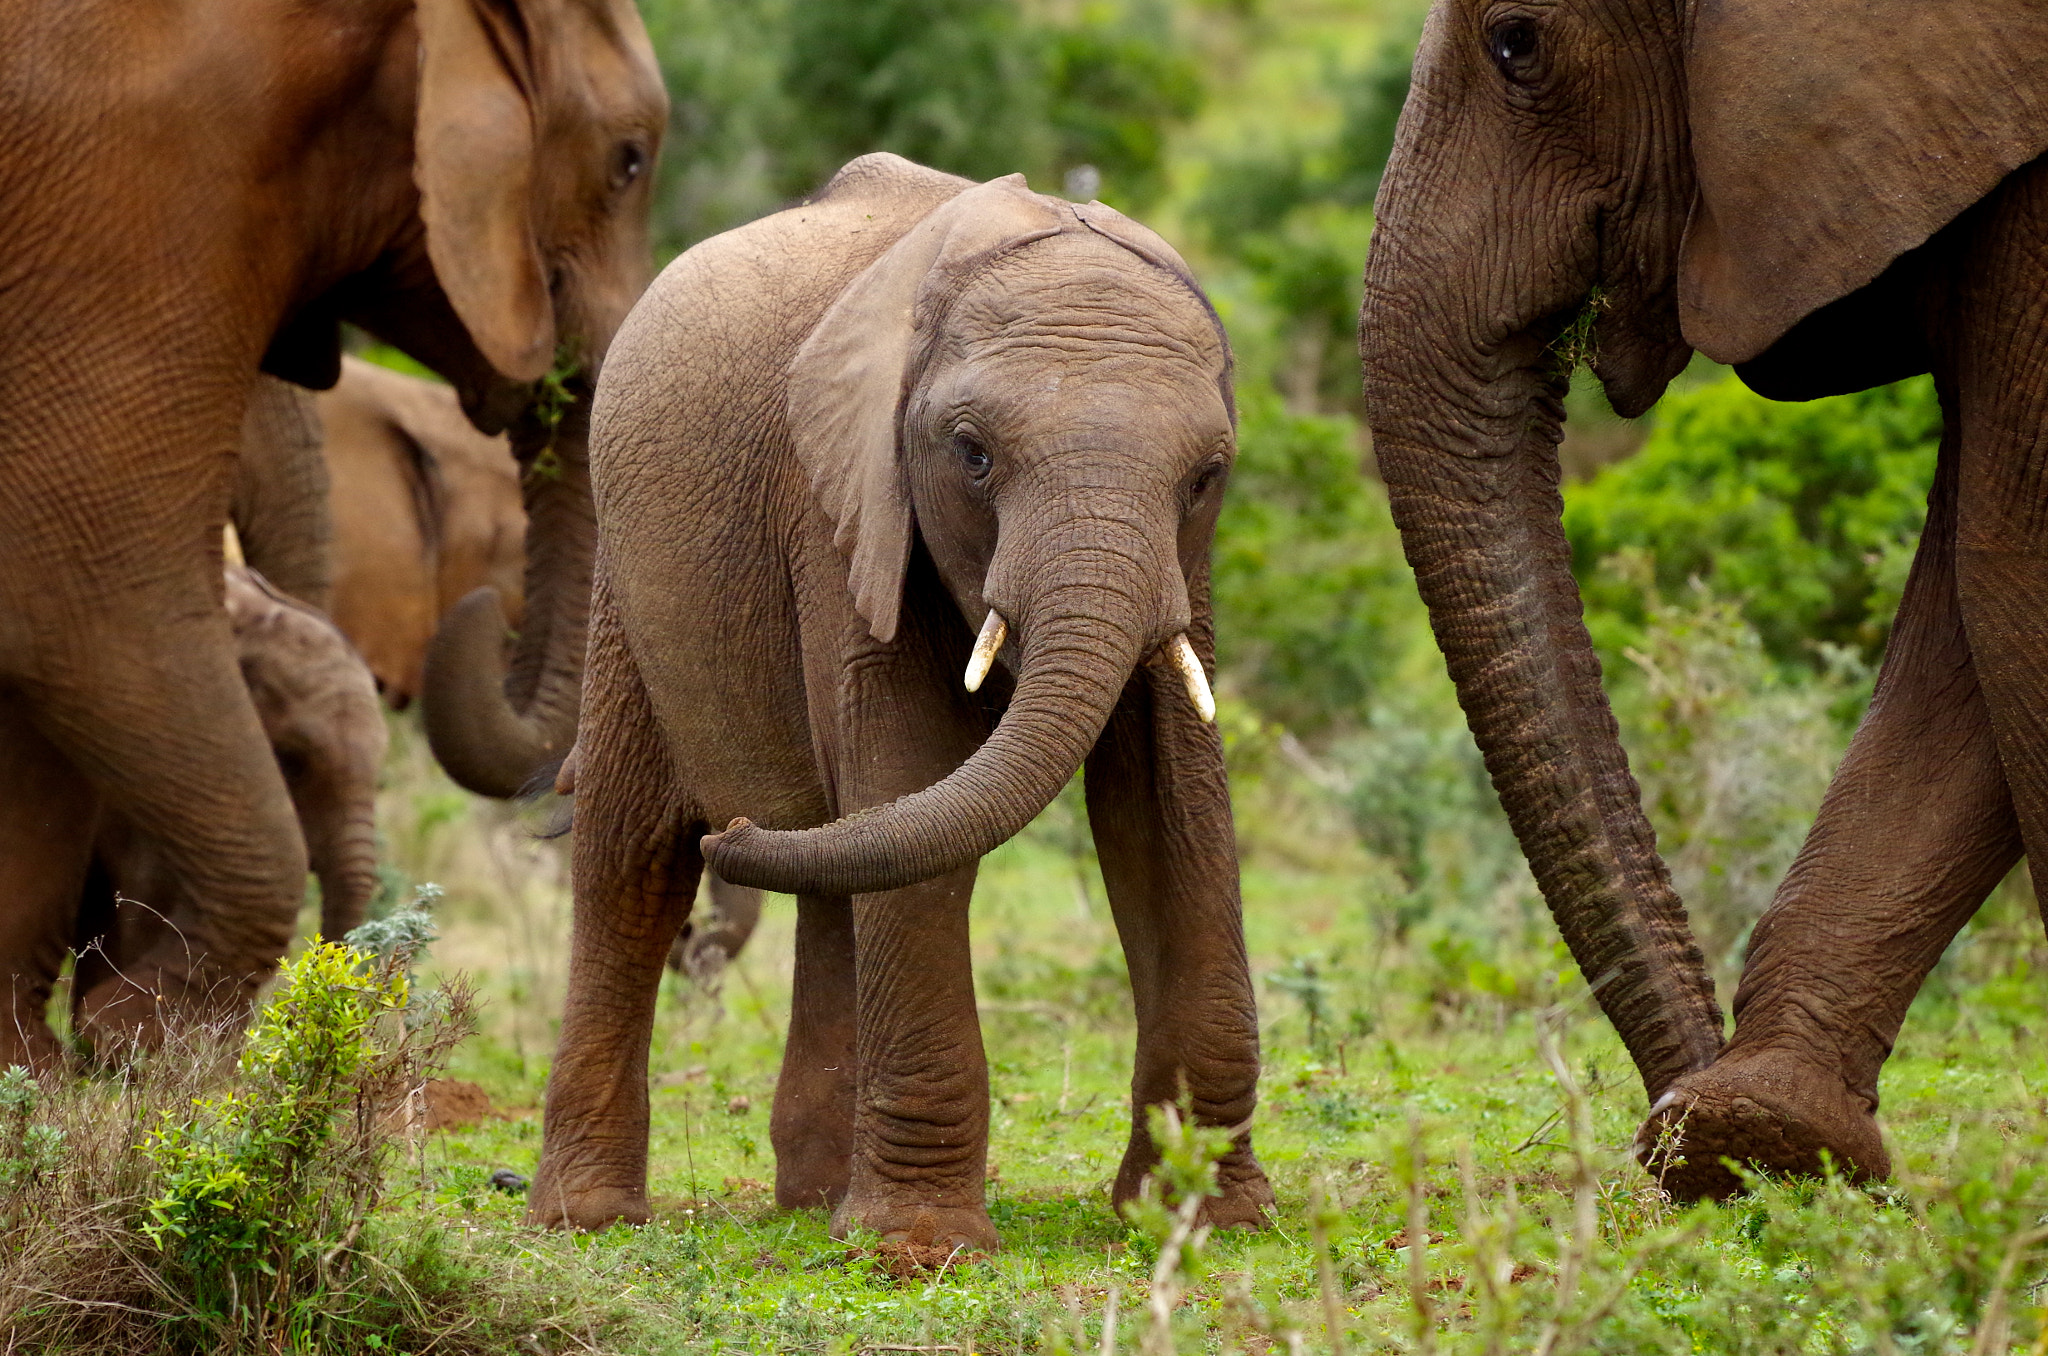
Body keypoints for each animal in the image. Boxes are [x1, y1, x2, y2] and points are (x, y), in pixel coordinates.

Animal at [1359, 0, 2048, 1204]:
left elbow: (2011, 563)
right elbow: (1977, 589)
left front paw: (1738, 1129)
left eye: (1516, 42)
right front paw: (1762, 1130)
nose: (1661, 1144)